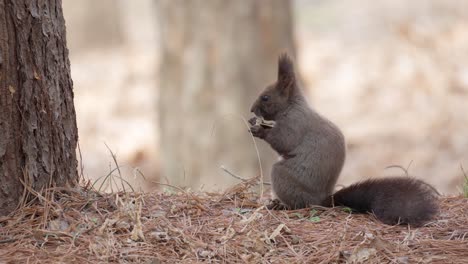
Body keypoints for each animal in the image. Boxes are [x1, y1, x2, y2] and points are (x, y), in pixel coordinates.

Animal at [249, 53, 438, 227]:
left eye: (265, 97)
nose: (251, 110)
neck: (291, 106)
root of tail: (323, 201)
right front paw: (255, 123)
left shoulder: (295, 123)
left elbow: (284, 141)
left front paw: (259, 130)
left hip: (286, 179)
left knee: (298, 202)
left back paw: (282, 206)